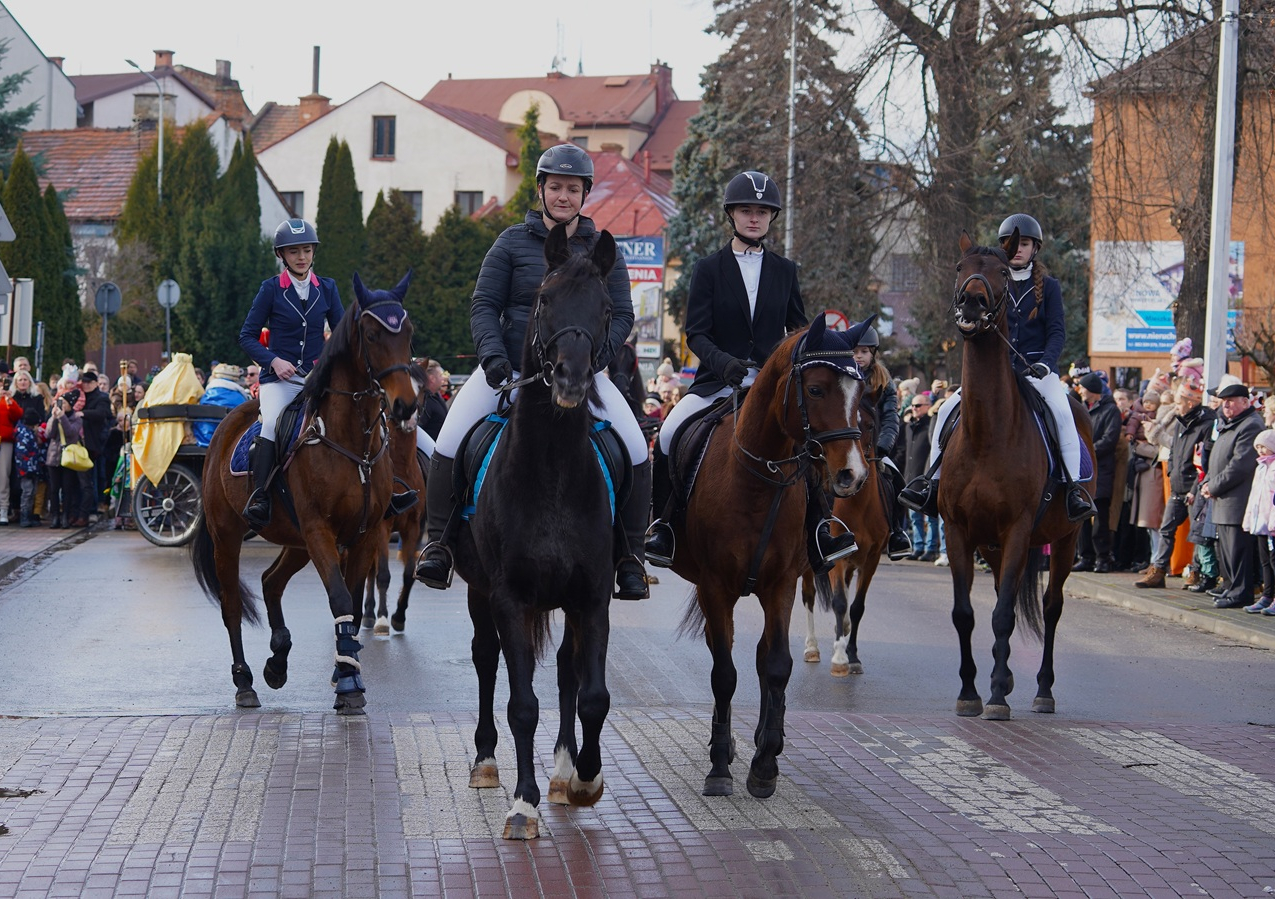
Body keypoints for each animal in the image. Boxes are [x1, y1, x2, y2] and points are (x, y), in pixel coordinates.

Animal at [189, 270, 418, 714]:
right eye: (370, 334)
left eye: (408, 332)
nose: (406, 406)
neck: (353, 444)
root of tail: (226, 423)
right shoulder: (319, 531)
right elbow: (341, 601)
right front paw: (348, 683)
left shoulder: (363, 535)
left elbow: (350, 602)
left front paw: (347, 671)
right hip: (229, 535)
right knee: (231, 604)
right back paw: (244, 681)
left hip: (295, 541)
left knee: (270, 581)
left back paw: (277, 659)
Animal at [456, 220, 619, 836]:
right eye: (544, 299)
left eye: (605, 308)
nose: (571, 379)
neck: (551, 473)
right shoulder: (508, 597)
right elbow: (521, 702)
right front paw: (522, 803)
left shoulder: (592, 597)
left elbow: (592, 694)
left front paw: (585, 779)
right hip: (479, 593)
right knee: (485, 661)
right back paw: (485, 762)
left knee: (569, 675)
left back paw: (564, 770)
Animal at [673, 317, 872, 800]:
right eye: (816, 389)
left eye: (861, 391)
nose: (852, 475)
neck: (759, 480)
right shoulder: (715, 586)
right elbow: (724, 673)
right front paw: (720, 767)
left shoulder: (780, 583)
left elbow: (777, 666)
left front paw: (764, 765)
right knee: (724, 652)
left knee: (765, 657)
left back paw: (767, 742)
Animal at [943, 229, 1091, 714]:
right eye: (960, 267)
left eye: (1003, 273)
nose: (971, 302)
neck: (988, 434)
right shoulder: (958, 531)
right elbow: (966, 614)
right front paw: (971, 692)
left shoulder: (1018, 530)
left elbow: (1005, 613)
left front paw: (994, 696)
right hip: (992, 545)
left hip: (1064, 540)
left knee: (1051, 605)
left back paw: (1041, 690)